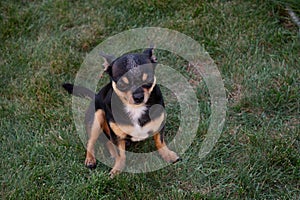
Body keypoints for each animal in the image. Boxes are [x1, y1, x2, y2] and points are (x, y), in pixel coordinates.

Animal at [63, 48, 179, 177]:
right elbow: (121, 154)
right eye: (122, 84)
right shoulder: (116, 134)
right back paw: (90, 159)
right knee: (91, 142)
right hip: (97, 117)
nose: (138, 97)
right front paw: (118, 168)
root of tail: (95, 96)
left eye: (148, 80)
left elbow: (160, 142)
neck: (135, 108)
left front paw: (167, 155)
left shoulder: (159, 124)